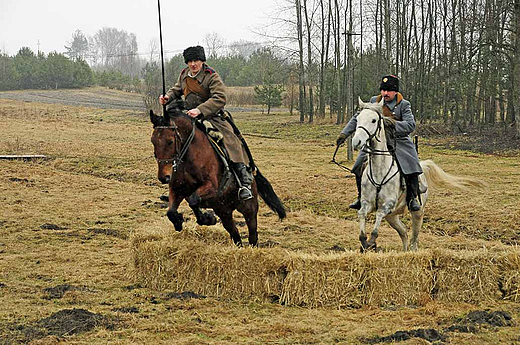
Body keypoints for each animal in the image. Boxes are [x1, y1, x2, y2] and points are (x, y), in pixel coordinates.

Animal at [150, 107, 286, 245]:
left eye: (170, 141)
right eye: (153, 141)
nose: (164, 177)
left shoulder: (211, 187)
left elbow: (193, 200)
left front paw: (207, 218)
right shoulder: (177, 189)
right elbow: (172, 211)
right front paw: (181, 221)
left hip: (248, 208)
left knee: (253, 234)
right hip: (224, 211)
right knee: (235, 234)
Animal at [352, 98, 486, 251]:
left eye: (374, 120)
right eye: (358, 119)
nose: (356, 141)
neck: (379, 171)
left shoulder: (388, 205)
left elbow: (379, 214)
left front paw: (371, 240)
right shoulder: (366, 203)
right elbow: (361, 213)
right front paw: (364, 240)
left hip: (417, 213)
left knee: (414, 238)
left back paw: (412, 249)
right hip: (392, 216)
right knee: (404, 232)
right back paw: (404, 251)